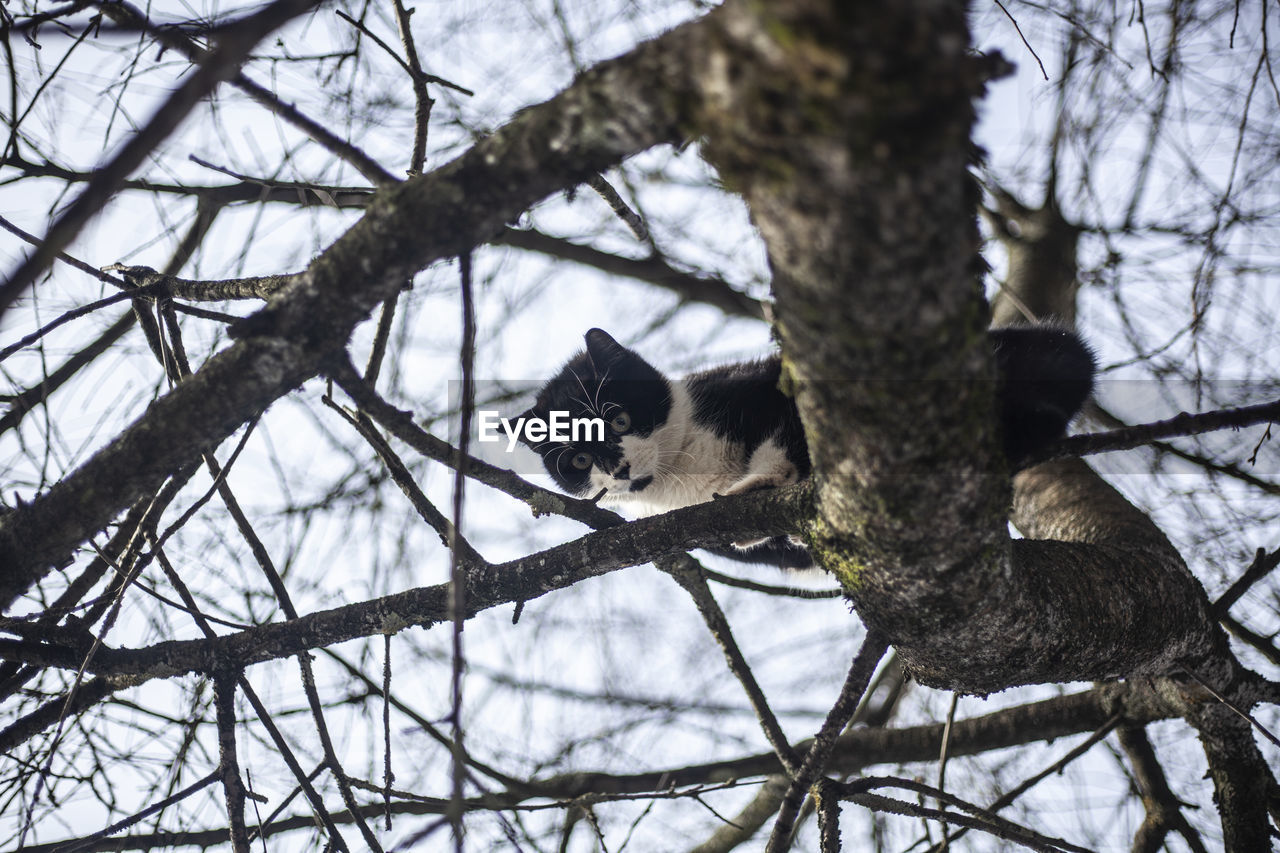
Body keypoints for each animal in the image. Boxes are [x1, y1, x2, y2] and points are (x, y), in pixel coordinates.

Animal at [514, 325, 1095, 563]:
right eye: (578, 459)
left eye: (618, 417)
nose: (617, 468)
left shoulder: (762, 387)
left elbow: (789, 434)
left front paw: (759, 481)